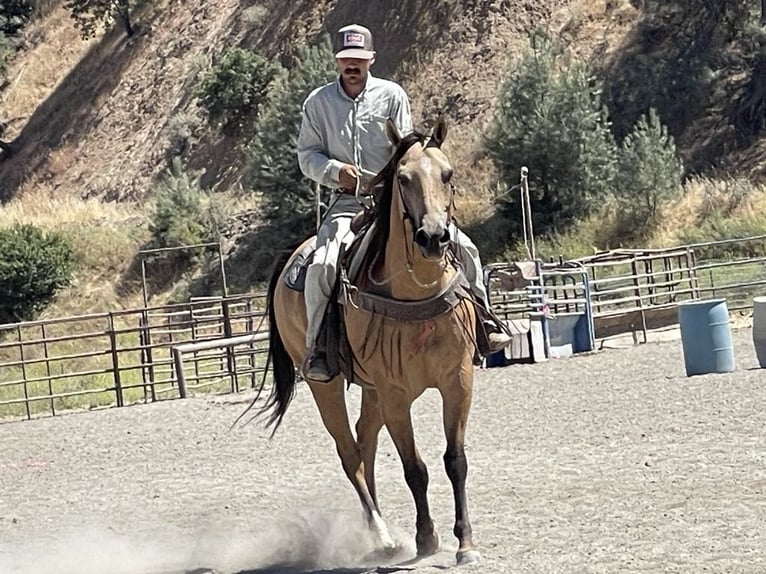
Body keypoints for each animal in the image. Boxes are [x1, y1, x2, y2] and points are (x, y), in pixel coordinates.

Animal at [258, 116, 481, 566]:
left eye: (447, 174)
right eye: (403, 178)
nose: (434, 237)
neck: (418, 293)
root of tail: (292, 257)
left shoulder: (458, 381)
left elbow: (455, 460)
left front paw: (465, 542)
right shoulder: (396, 394)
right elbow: (415, 468)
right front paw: (426, 538)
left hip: (372, 389)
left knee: (365, 443)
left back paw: (376, 531)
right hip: (327, 387)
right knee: (349, 453)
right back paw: (381, 534)